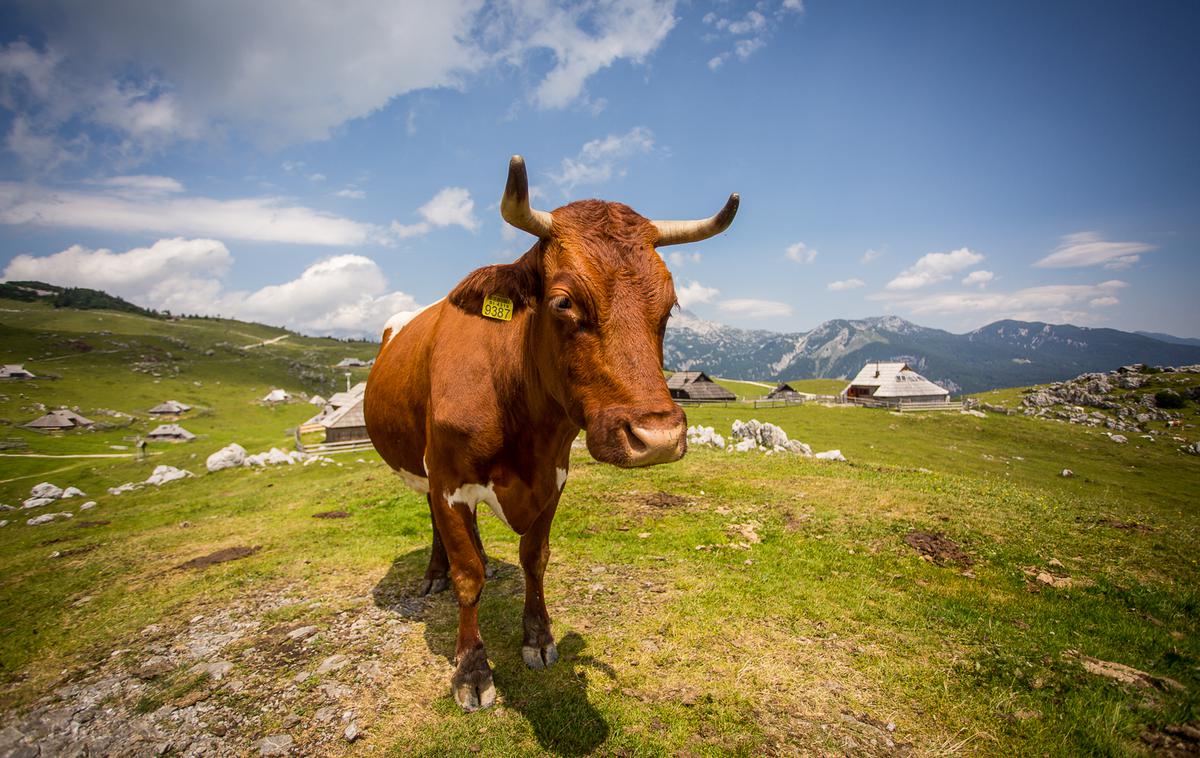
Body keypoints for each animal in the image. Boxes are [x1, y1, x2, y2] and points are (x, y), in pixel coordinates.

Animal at [360, 155, 734, 710]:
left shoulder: (553, 478)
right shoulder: (448, 479)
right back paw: (434, 574)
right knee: (436, 523)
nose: (658, 438)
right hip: (426, 470)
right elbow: (468, 577)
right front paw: (471, 668)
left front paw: (538, 637)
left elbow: (534, 559)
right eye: (563, 302)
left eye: (669, 306)